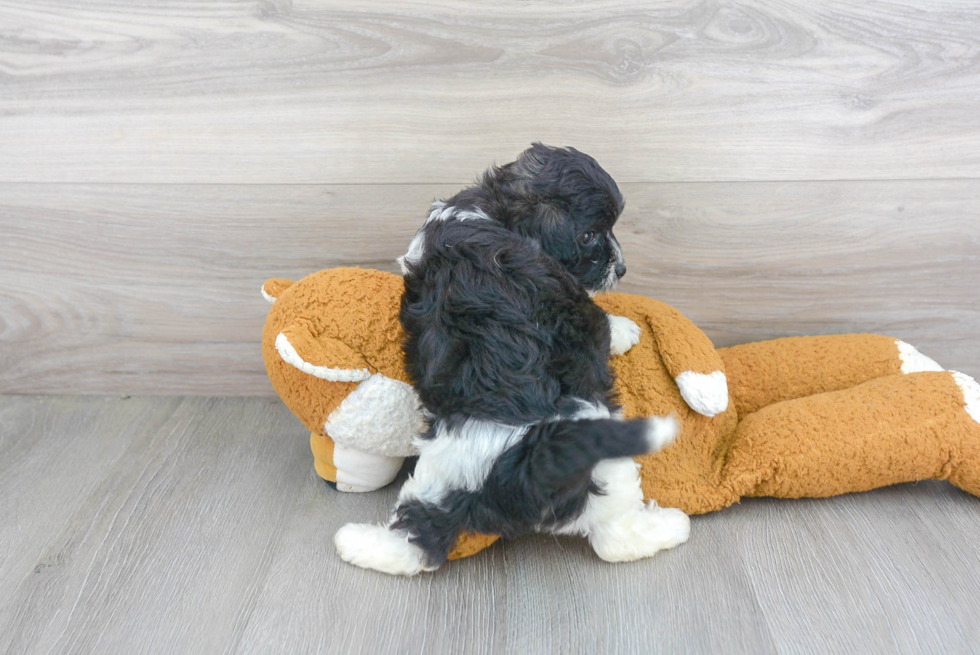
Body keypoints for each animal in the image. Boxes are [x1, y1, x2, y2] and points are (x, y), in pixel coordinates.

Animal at [336, 144, 688, 576]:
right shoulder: (578, 309)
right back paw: (671, 526)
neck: (490, 210)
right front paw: (625, 330)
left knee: (416, 536)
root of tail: (519, 468)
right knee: (615, 538)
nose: (620, 269)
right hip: (605, 461)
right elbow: (602, 321)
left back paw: (355, 543)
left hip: (439, 475)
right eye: (589, 235)